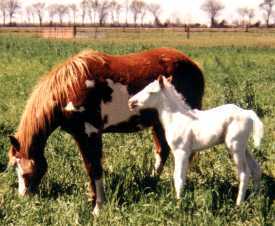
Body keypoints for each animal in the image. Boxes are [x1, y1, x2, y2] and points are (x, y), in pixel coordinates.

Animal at [8, 46, 205, 215]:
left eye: (24, 171)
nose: (23, 198)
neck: (68, 89)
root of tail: (194, 65)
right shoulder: (79, 135)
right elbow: (89, 168)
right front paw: (92, 199)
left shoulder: (90, 133)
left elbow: (94, 168)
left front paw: (98, 207)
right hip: (158, 122)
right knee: (161, 151)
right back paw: (151, 183)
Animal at [128, 75, 264, 205]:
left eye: (150, 91)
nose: (130, 102)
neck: (176, 118)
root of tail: (248, 113)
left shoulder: (181, 151)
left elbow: (178, 178)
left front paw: (178, 204)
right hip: (243, 147)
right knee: (256, 169)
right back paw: (256, 198)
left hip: (235, 146)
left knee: (244, 173)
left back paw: (239, 204)